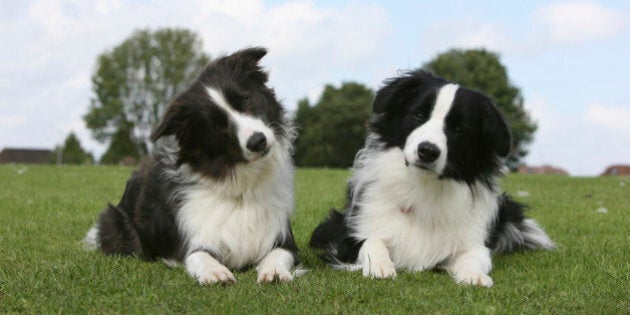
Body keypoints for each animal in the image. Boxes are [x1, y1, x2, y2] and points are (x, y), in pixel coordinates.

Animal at [84, 47, 302, 286]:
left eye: (244, 101)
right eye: (216, 125)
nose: (257, 141)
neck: (241, 187)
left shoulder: (283, 239)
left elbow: (279, 254)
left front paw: (274, 271)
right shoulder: (190, 241)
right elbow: (198, 255)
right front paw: (214, 271)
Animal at [312, 70, 552, 288]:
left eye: (459, 129)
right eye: (419, 115)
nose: (427, 151)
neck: (423, 185)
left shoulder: (473, 241)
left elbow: (475, 257)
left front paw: (473, 276)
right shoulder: (349, 235)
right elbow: (372, 241)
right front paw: (380, 266)